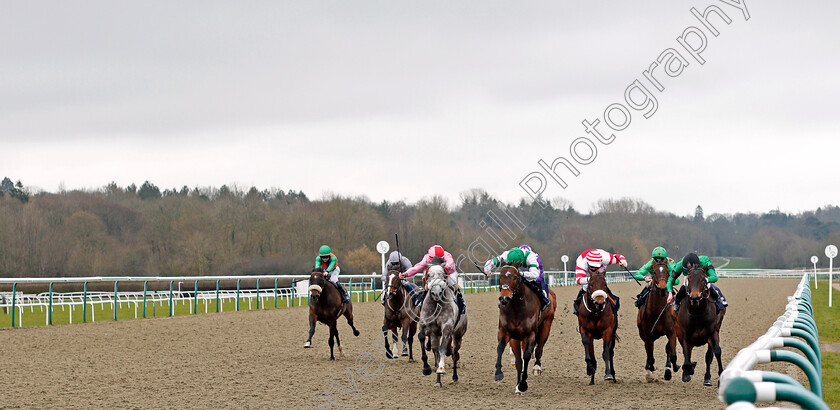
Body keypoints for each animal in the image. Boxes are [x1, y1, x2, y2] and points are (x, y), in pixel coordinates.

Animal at [492, 264, 556, 396]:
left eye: (516, 277)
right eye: (500, 276)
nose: (504, 298)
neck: (517, 308)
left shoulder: (530, 334)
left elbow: (526, 356)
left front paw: (522, 385)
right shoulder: (508, 334)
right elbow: (506, 352)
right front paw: (500, 374)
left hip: (546, 326)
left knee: (539, 349)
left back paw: (536, 368)